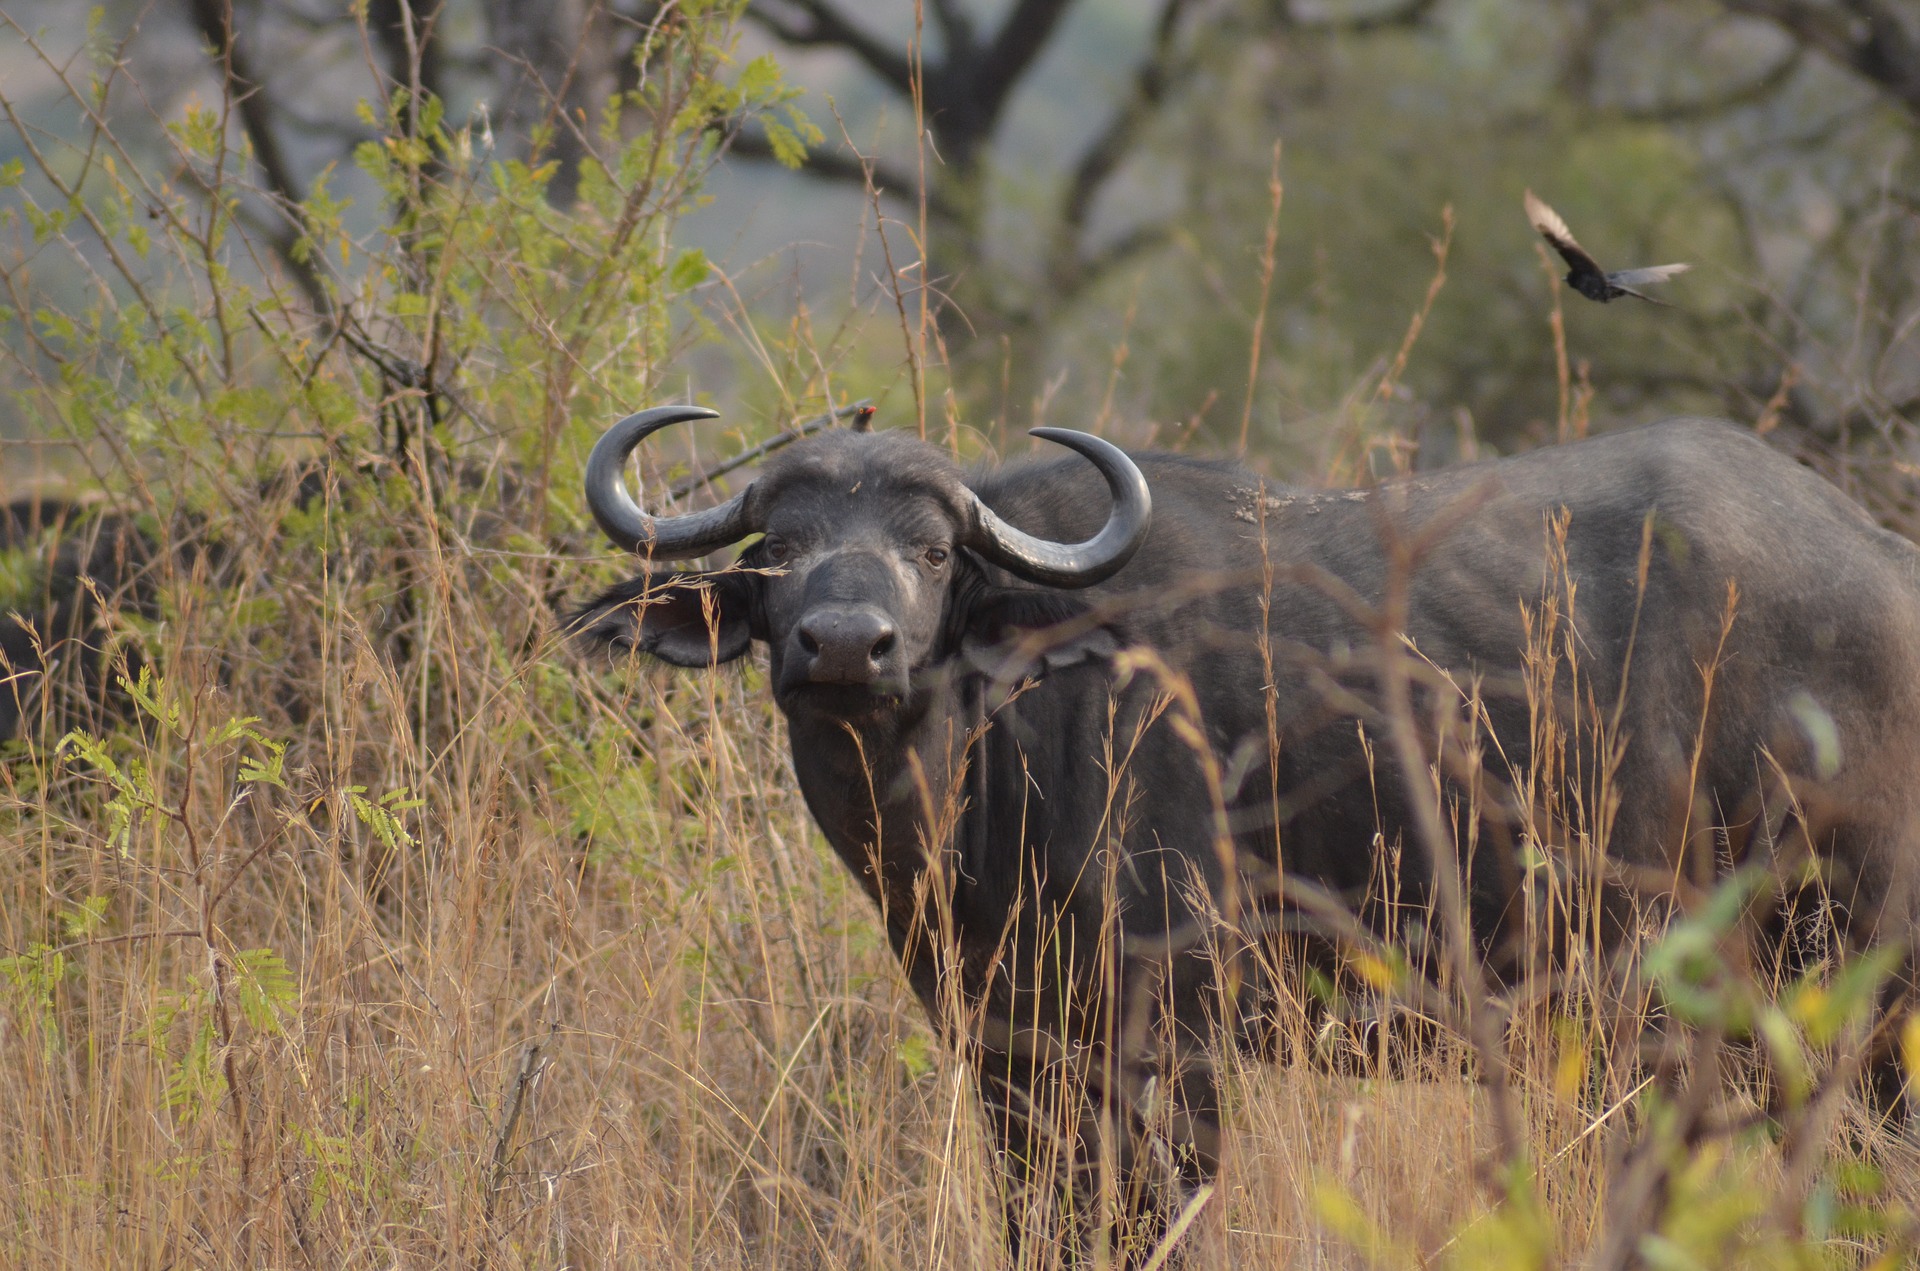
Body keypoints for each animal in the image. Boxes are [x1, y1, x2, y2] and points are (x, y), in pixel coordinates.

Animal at [564, 410, 1920, 1267]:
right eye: (779, 549)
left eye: (935, 550)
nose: (847, 643)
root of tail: (1880, 559)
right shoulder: (1010, 1048)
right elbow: (1047, 1221)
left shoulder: (1175, 1032)